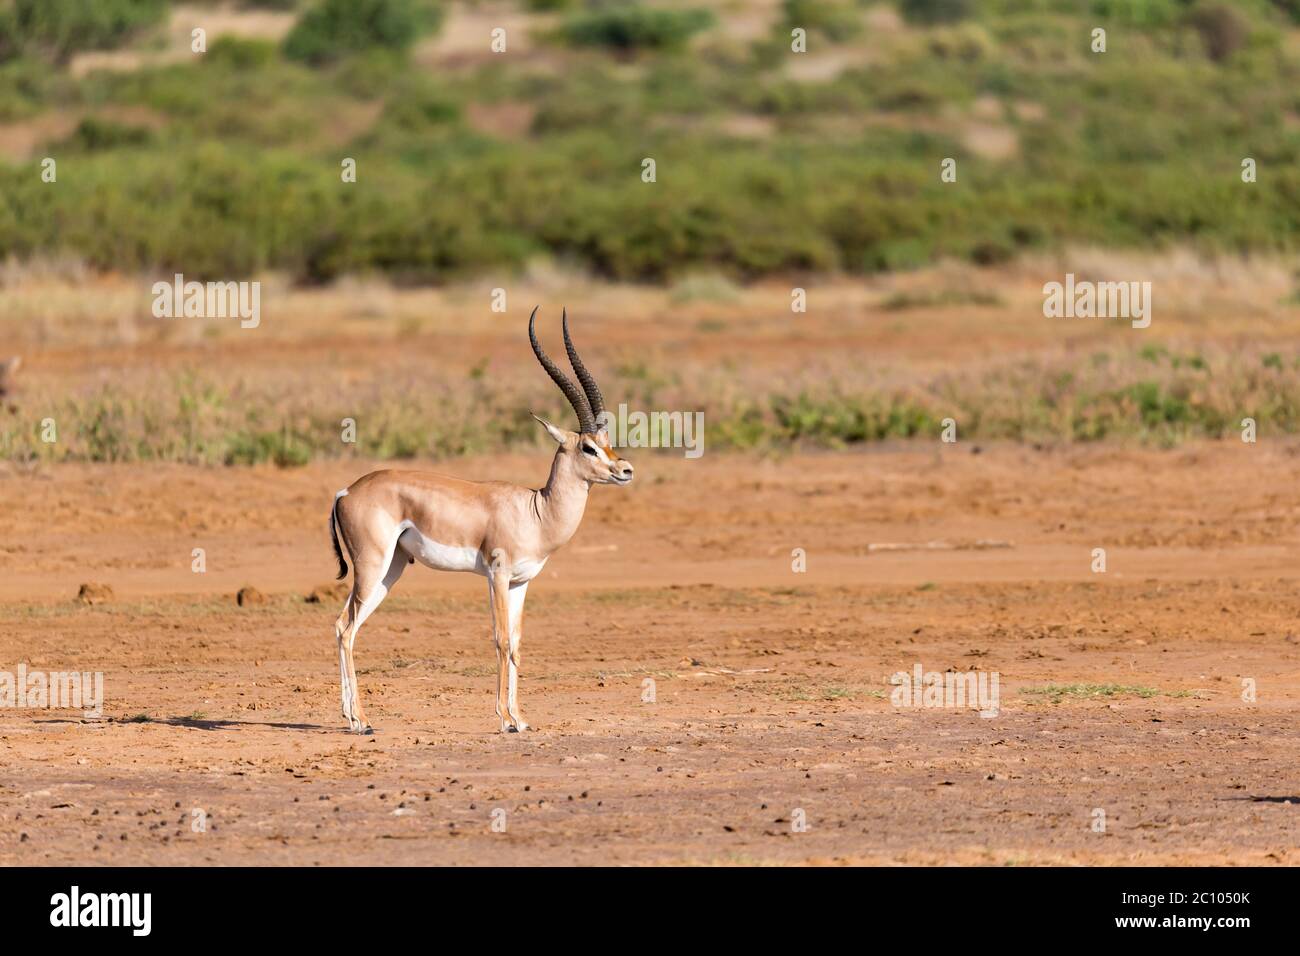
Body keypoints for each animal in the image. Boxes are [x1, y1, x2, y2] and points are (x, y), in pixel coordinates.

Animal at [327, 308, 633, 734]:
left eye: (607, 442)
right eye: (589, 447)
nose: (625, 470)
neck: (536, 510)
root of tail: (346, 491)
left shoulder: (522, 582)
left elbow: (517, 643)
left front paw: (521, 719)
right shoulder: (497, 575)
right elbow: (501, 639)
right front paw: (504, 719)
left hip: (391, 570)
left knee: (348, 627)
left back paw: (353, 716)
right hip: (371, 567)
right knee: (344, 626)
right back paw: (360, 721)